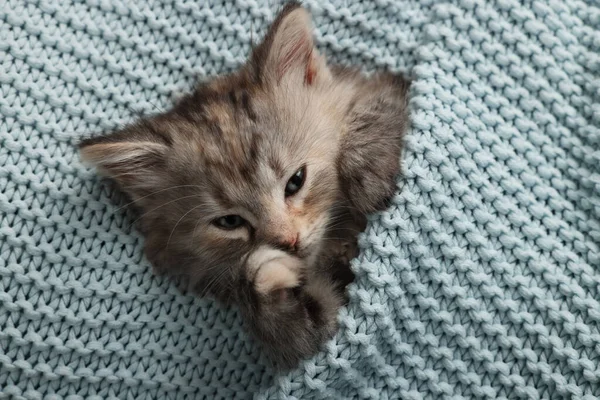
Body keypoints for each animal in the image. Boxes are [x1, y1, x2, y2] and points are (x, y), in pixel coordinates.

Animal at [78, 1, 408, 368]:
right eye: (230, 221)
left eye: (296, 181)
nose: (288, 242)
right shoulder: (325, 326)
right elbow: (303, 334)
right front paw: (264, 279)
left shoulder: (395, 88)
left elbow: (382, 107)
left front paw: (369, 172)